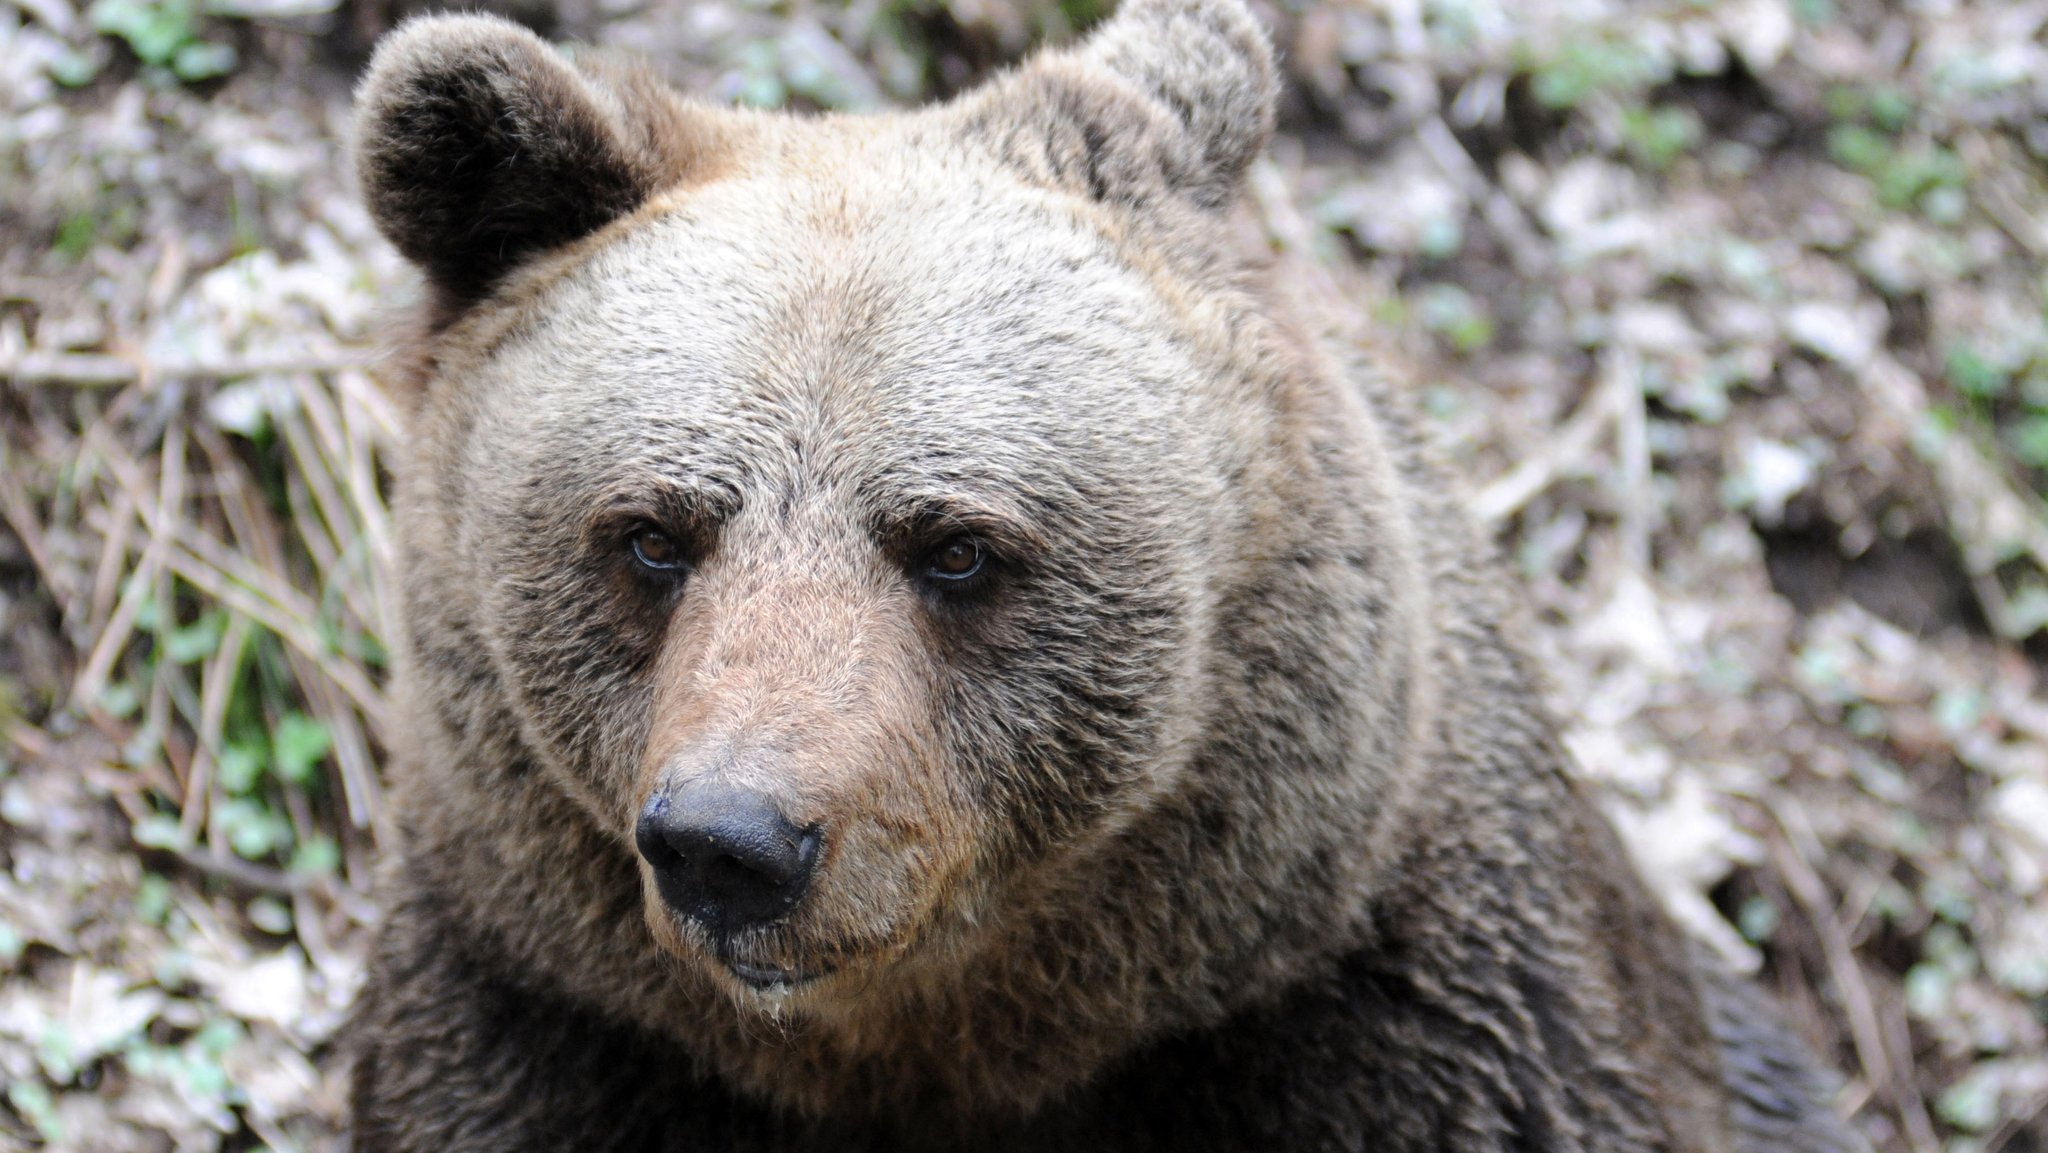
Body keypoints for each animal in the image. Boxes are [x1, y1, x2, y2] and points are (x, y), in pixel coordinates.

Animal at [348, 4, 1875, 1146]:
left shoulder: (1398, 1026)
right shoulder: (554, 1027)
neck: (943, 1043)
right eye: (654, 533)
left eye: (957, 545)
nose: (734, 841)